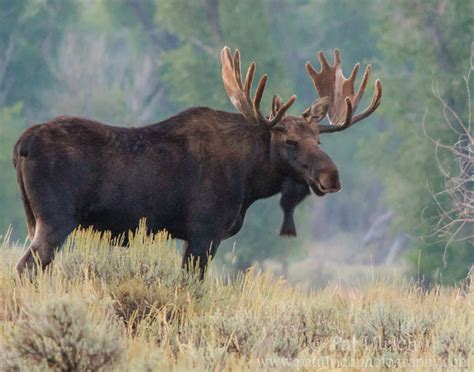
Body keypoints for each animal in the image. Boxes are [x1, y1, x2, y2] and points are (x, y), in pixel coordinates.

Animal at [12, 48, 382, 278]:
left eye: (319, 140)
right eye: (289, 141)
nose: (331, 176)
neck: (249, 183)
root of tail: (21, 144)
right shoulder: (205, 230)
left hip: (33, 219)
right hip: (56, 218)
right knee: (26, 268)